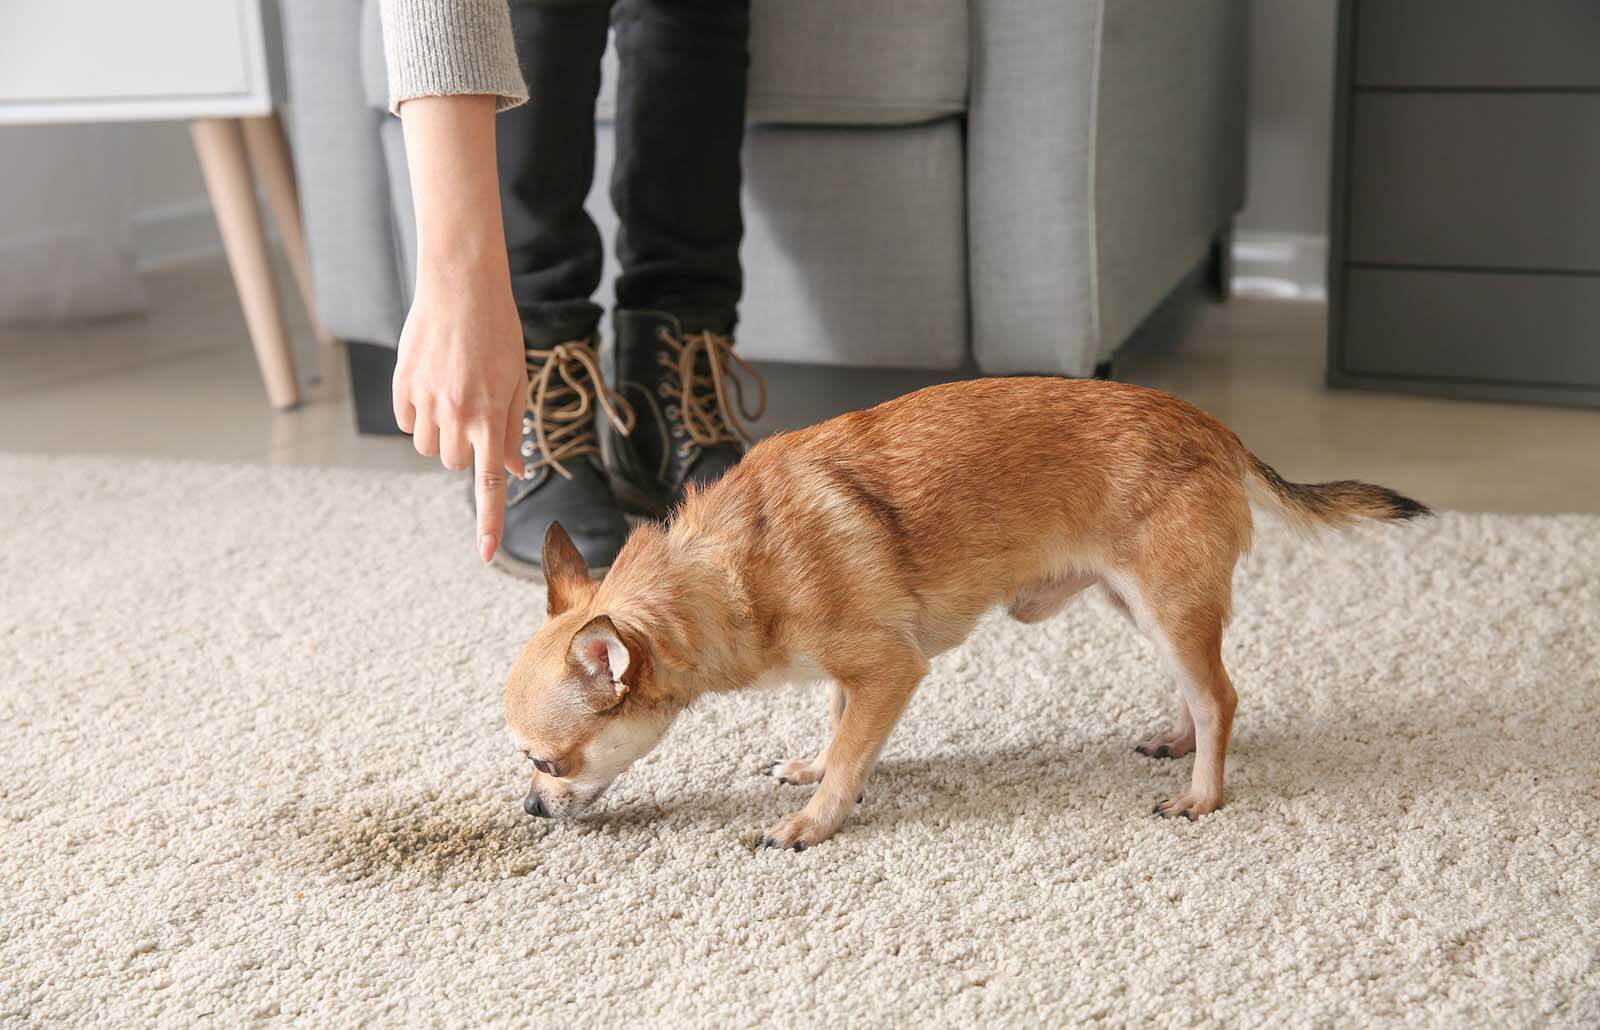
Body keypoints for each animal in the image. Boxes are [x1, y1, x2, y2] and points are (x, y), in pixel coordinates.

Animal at [502, 374, 1427, 850]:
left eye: (548, 763)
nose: (531, 810)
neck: (725, 571)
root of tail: (1215, 429)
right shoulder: (853, 673)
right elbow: (837, 724)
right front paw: (810, 765)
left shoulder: (889, 669)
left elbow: (853, 755)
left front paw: (813, 819)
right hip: (1141, 605)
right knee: (1198, 693)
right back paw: (1178, 741)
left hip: (1169, 603)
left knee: (1220, 696)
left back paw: (1203, 793)